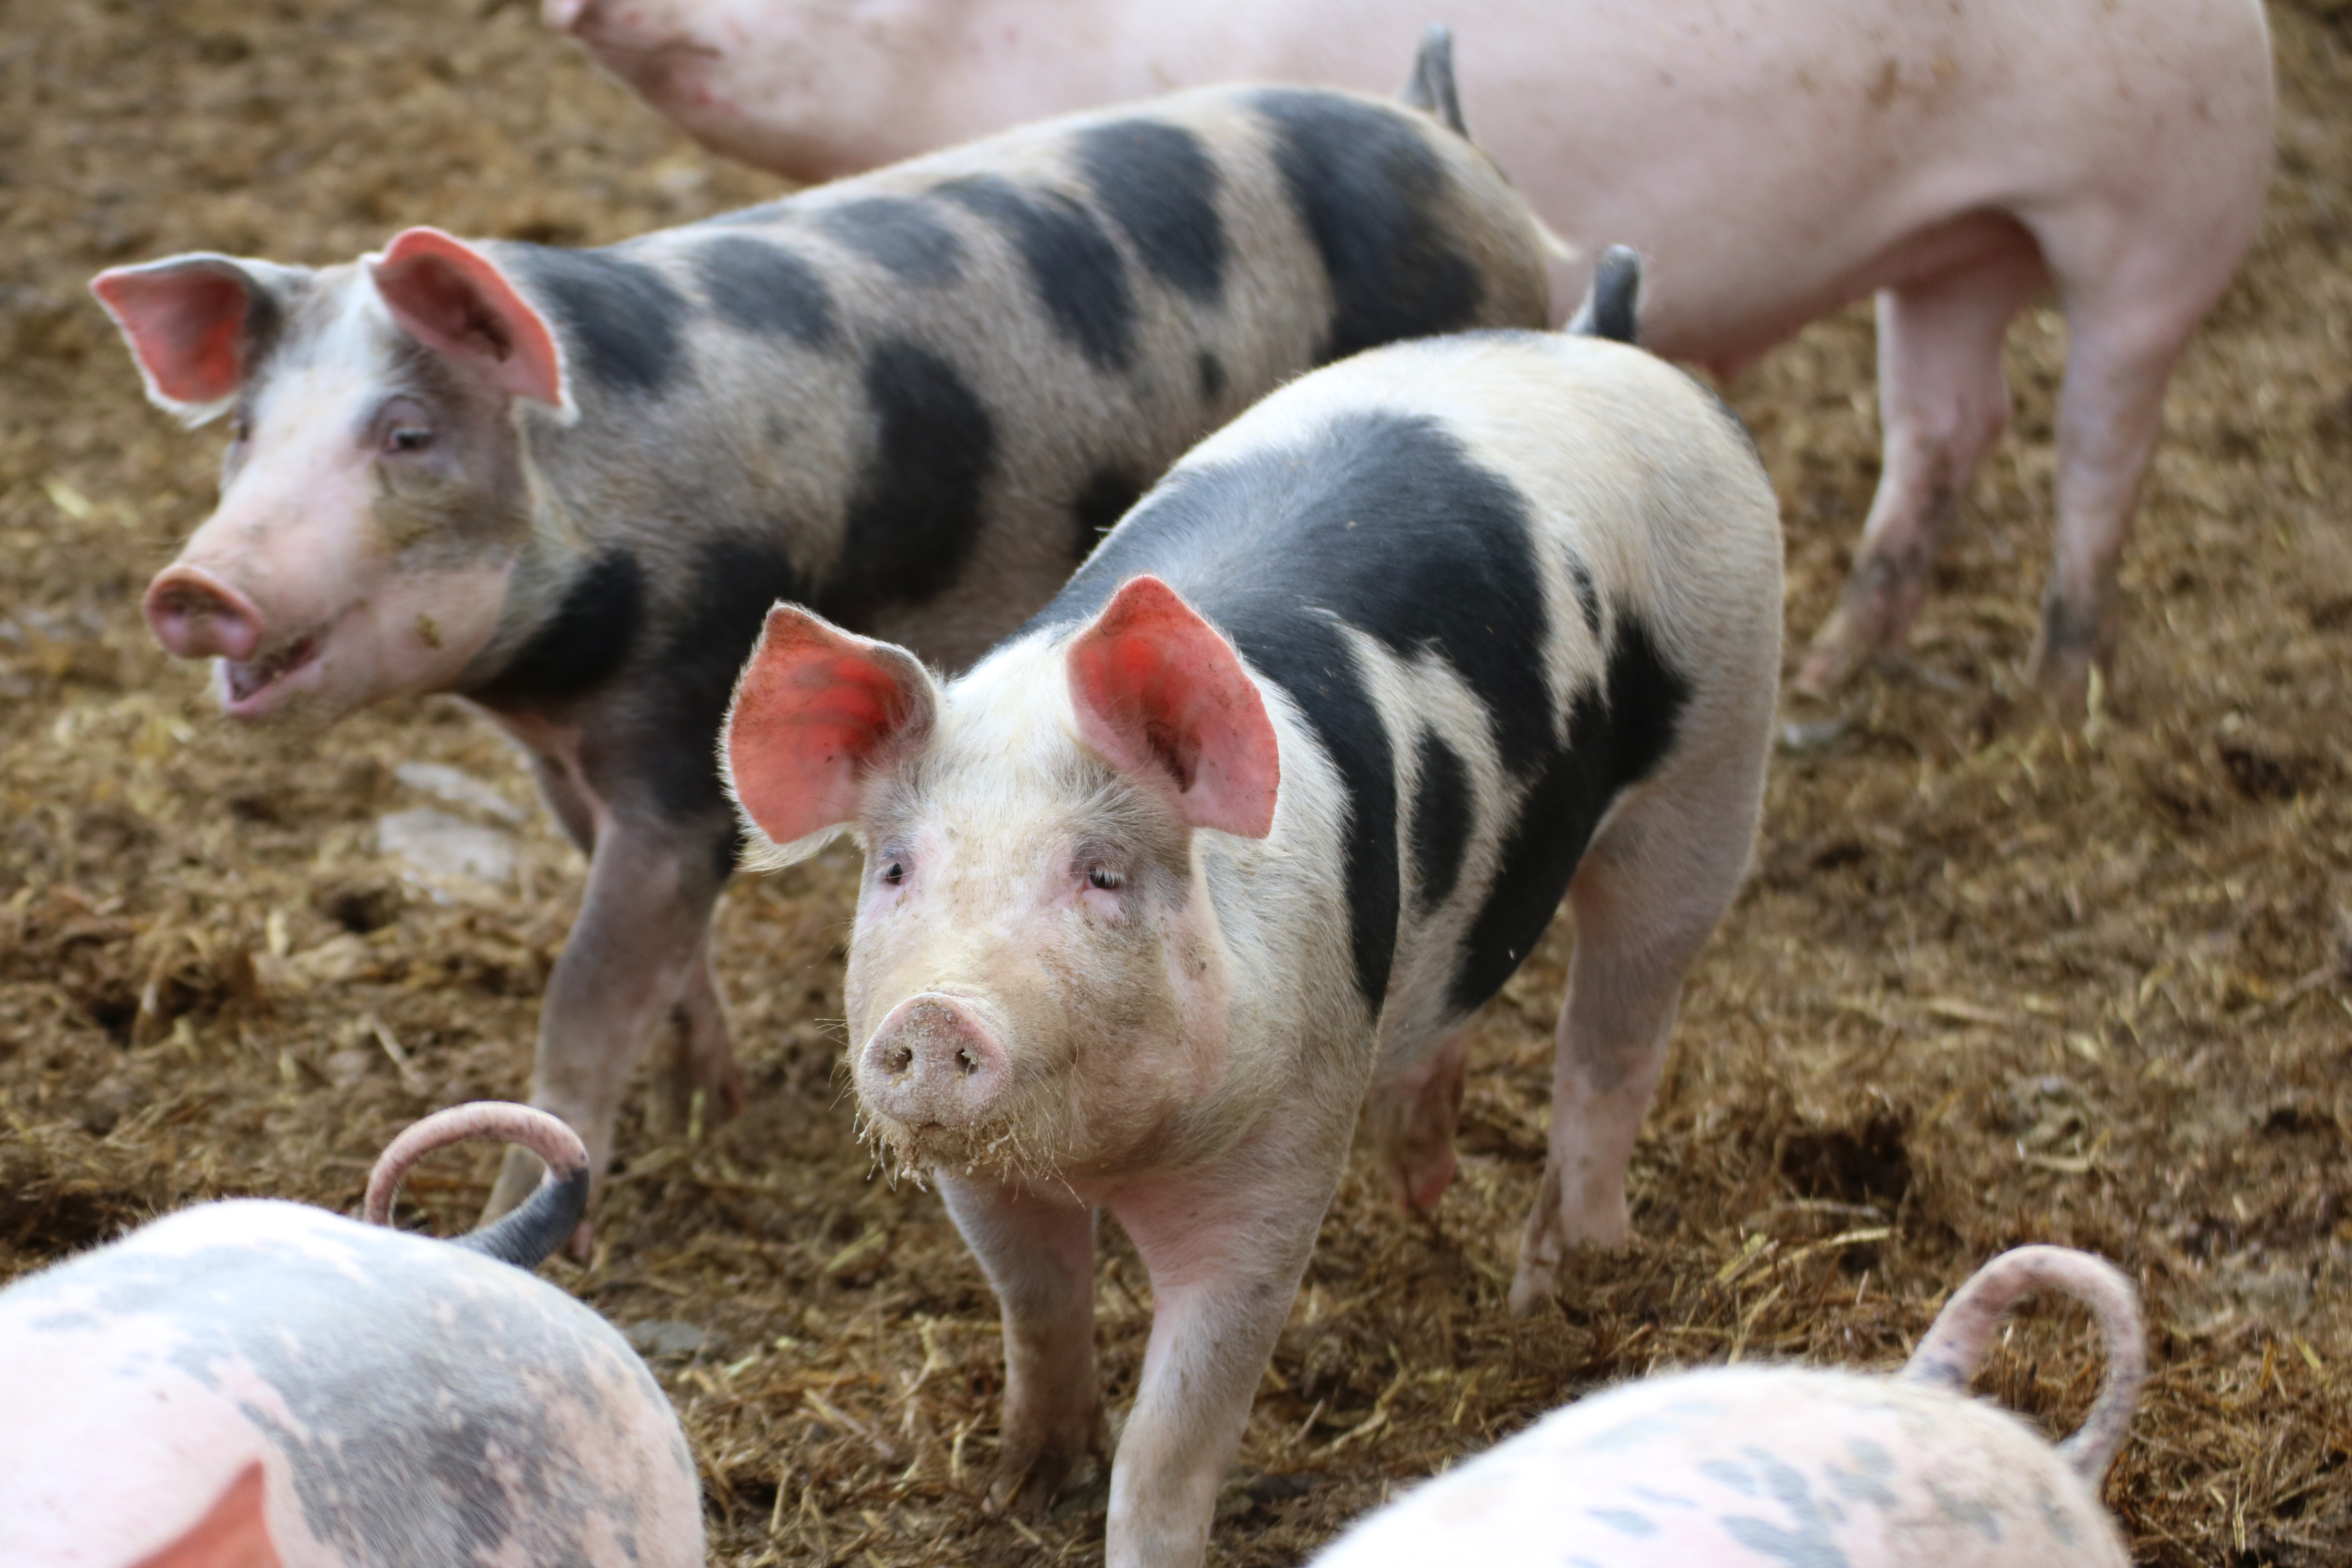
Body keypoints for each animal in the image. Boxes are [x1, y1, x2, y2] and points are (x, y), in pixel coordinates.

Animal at [90, 50, 1553, 1233]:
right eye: (242, 433)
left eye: (405, 435)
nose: (195, 587)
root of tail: (1452, 148)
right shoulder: (575, 764)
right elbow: (659, 961)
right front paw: (712, 1098)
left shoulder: (682, 741)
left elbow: (582, 1001)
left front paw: (523, 1210)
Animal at [546, 0, 2276, 711]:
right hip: (1955, 260)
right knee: (1951, 419)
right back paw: (1849, 664)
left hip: (2161, 210)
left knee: (2100, 442)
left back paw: (2051, 694)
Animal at [718, 319, 1783, 1567]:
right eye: (895, 869)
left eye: (1103, 875)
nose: (937, 1012)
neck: (1109, 1158)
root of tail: (1598, 345)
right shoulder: (982, 1174)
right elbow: (1038, 1304)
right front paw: (1025, 1487)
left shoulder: (1281, 1158)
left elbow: (1177, 1432)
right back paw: (1427, 1187)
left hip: (1716, 762)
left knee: (1615, 1039)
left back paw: (1563, 1290)